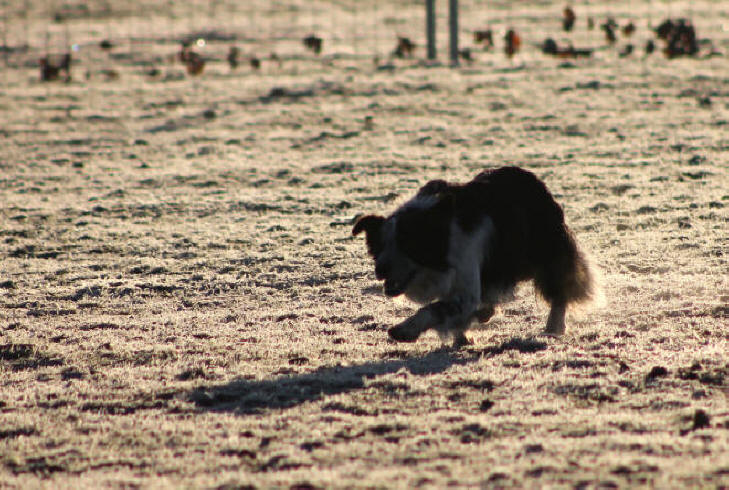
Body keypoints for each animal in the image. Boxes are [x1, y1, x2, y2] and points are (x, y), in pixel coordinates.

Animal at [352, 167, 596, 346]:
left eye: (408, 244)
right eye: (379, 247)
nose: (381, 270)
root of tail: (532, 178)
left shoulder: (465, 275)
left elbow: (435, 308)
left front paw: (404, 330)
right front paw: (462, 337)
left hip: (547, 250)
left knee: (559, 289)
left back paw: (553, 327)